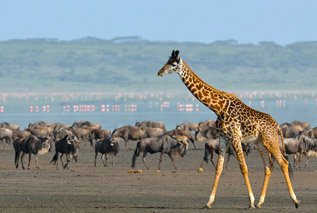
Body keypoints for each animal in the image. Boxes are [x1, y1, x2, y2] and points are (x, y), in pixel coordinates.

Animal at [156, 50, 298, 210]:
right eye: (167, 60)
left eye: (173, 64)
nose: (159, 72)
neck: (218, 107)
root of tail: (277, 125)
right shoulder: (223, 137)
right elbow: (219, 168)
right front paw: (209, 202)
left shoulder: (235, 137)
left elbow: (243, 167)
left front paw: (250, 201)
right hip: (260, 143)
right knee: (269, 166)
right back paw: (261, 201)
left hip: (270, 141)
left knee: (283, 163)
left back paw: (295, 201)